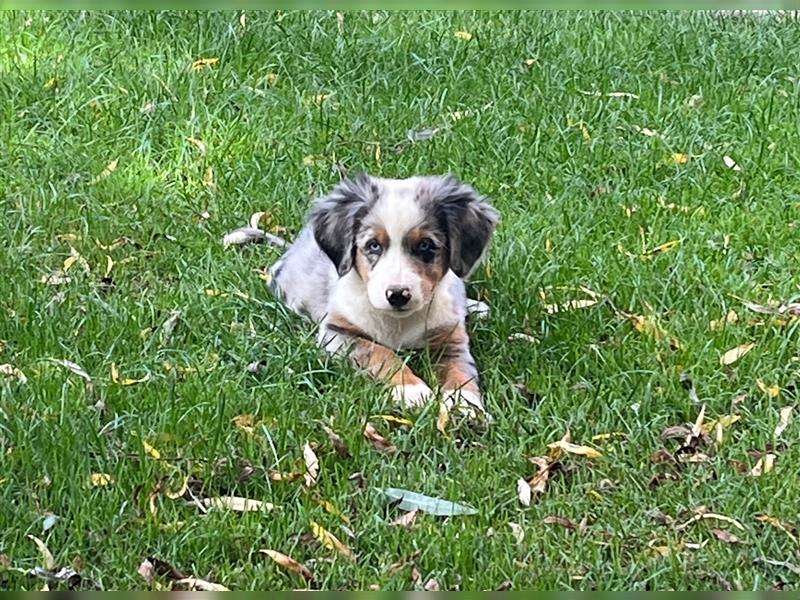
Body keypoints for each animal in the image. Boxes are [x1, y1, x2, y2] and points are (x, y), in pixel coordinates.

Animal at [266, 173, 496, 418]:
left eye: (425, 245)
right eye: (373, 245)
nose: (397, 295)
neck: (399, 322)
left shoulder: (452, 339)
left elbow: (461, 372)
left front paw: (465, 406)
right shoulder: (338, 333)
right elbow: (382, 353)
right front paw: (413, 391)